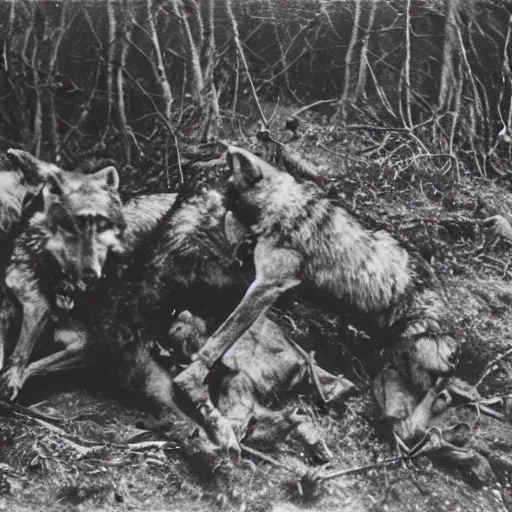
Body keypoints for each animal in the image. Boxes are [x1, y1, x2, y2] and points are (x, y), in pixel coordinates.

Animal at [174, 144, 462, 448]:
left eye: (228, 201)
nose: (186, 199)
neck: (287, 206)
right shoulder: (264, 284)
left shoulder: (267, 285)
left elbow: (222, 338)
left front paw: (191, 376)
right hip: (387, 377)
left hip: (415, 359)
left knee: (431, 403)